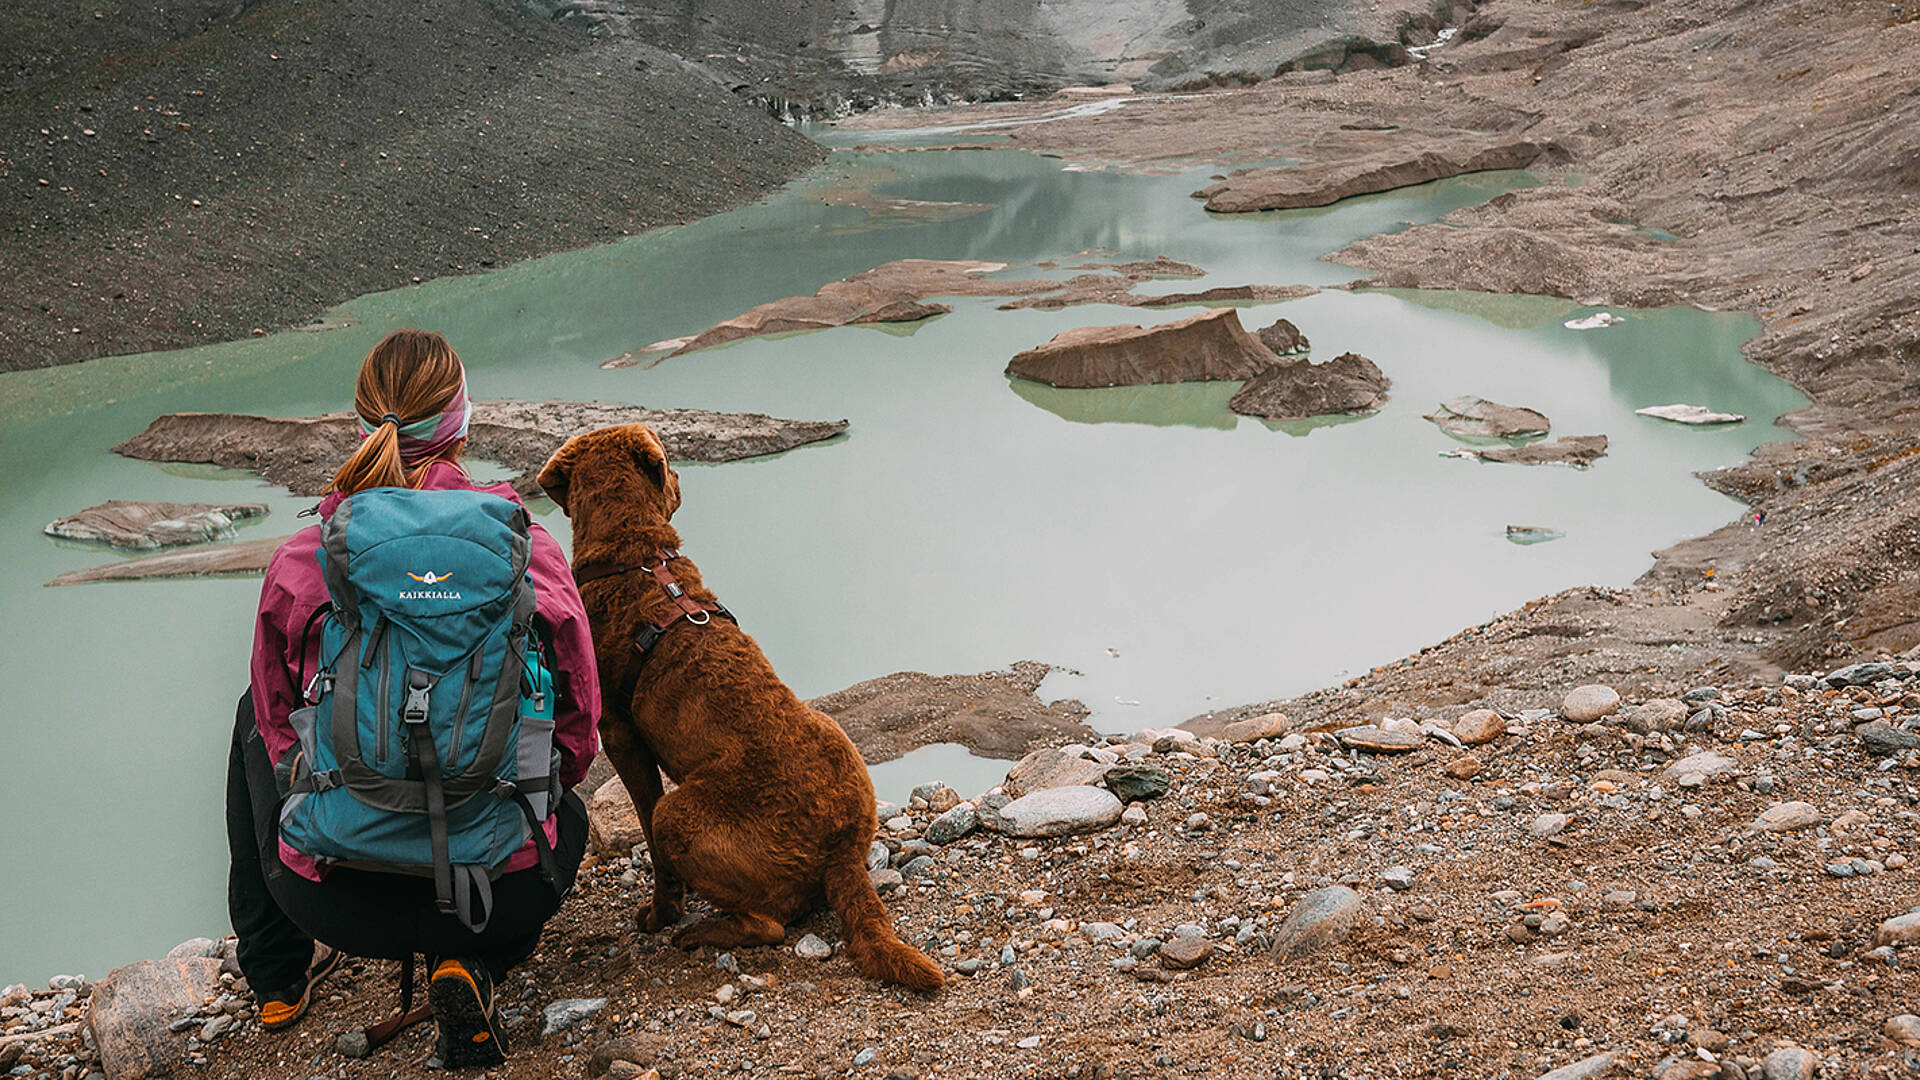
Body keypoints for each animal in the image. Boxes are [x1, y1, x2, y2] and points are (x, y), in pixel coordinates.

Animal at [537, 422, 940, 991]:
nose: (681, 479)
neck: (634, 553)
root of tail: (840, 848)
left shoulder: (619, 734)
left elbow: (651, 840)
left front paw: (661, 914)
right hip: (834, 732)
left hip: (680, 815)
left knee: (767, 922)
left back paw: (703, 931)